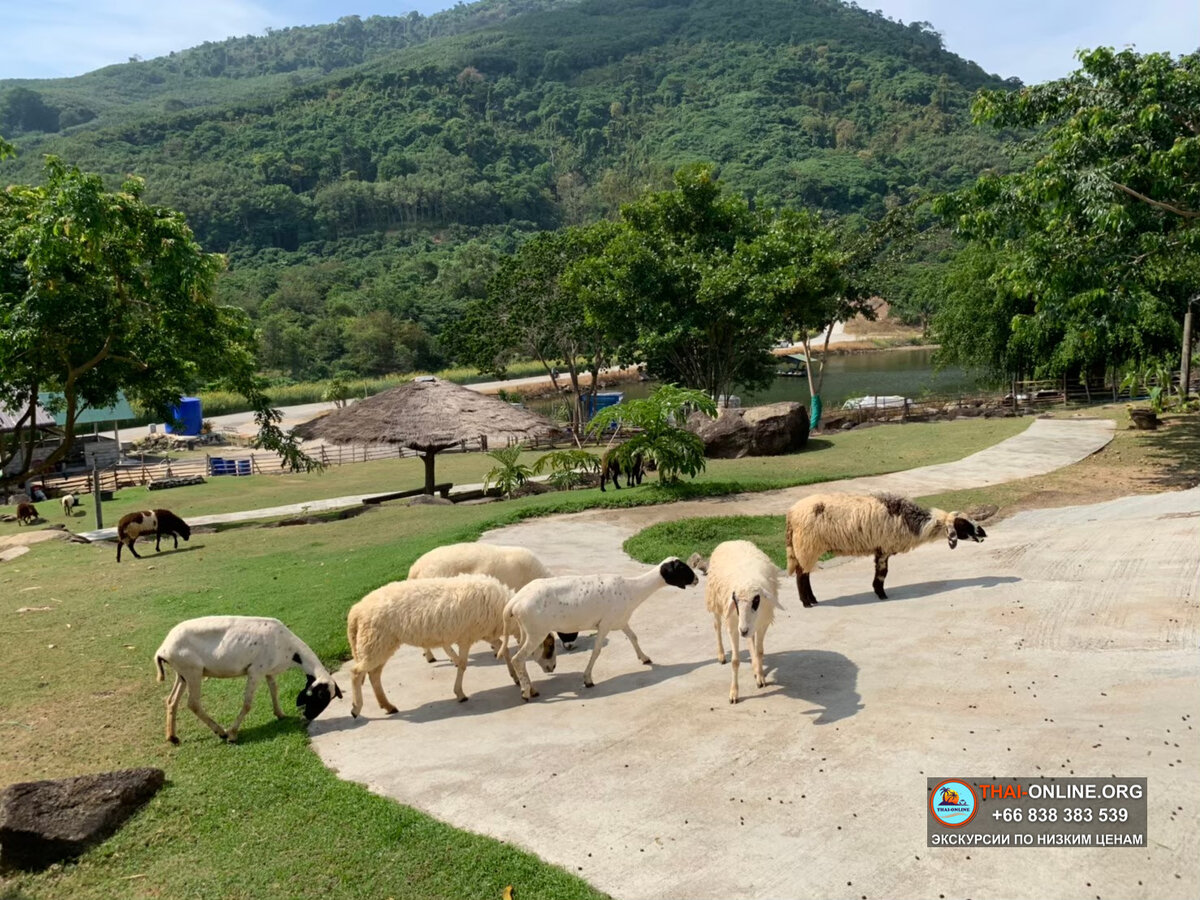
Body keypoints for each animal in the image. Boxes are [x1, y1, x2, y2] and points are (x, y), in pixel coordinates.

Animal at [154, 614, 343, 748]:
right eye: (321, 697)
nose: (307, 716)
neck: (291, 650)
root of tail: (162, 649)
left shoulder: (267, 671)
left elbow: (274, 690)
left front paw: (280, 714)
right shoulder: (255, 671)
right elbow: (247, 704)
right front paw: (232, 734)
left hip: (182, 673)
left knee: (171, 701)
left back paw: (172, 737)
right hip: (193, 671)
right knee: (193, 704)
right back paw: (221, 732)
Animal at [345, 578, 528, 720]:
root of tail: (356, 611)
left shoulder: (484, 633)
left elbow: (503, 649)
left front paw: (515, 677)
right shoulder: (466, 637)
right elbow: (463, 665)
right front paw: (460, 693)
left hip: (380, 644)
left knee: (374, 675)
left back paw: (388, 706)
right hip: (375, 642)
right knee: (356, 672)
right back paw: (356, 708)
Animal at [499, 561, 700, 700]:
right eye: (682, 568)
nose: (697, 579)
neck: (632, 589)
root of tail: (514, 602)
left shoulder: (620, 621)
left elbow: (634, 637)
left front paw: (644, 658)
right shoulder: (605, 625)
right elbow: (596, 651)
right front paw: (588, 679)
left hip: (526, 631)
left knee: (523, 657)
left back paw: (529, 688)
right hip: (536, 632)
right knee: (518, 659)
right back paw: (526, 693)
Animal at [700, 542, 782, 705]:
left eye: (756, 600)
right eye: (735, 600)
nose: (743, 631)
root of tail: (731, 540)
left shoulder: (762, 624)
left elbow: (760, 651)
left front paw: (760, 676)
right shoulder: (733, 625)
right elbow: (735, 661)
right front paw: (734, 693)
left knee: (751, 639)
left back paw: (756, 669)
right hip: (715, 601)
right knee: (717, 626)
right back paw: (721, 655)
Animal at [782, 489, 988, 609]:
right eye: (963, 525)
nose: (984, 534)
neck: (915, 523)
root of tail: (791, 513)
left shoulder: (880, 548)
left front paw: (878, 592)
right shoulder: (884, 547)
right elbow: (883, 573)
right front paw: (881, 594)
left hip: (805, 547)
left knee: (805, 573)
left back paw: (812, 599)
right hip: (807, 545)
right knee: (801, 575)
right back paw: (807, 602)